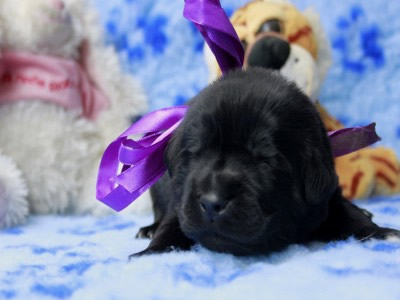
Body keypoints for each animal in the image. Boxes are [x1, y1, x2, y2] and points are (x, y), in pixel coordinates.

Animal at [132, 68, 400, 258]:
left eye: (265, 160)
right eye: (196, 153)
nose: (211, 203)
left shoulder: (325, 196)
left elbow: (348, 213)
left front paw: (383, 233)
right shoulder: (181, 200)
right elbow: (172, 223)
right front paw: (152, 252)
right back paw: (149, 229)